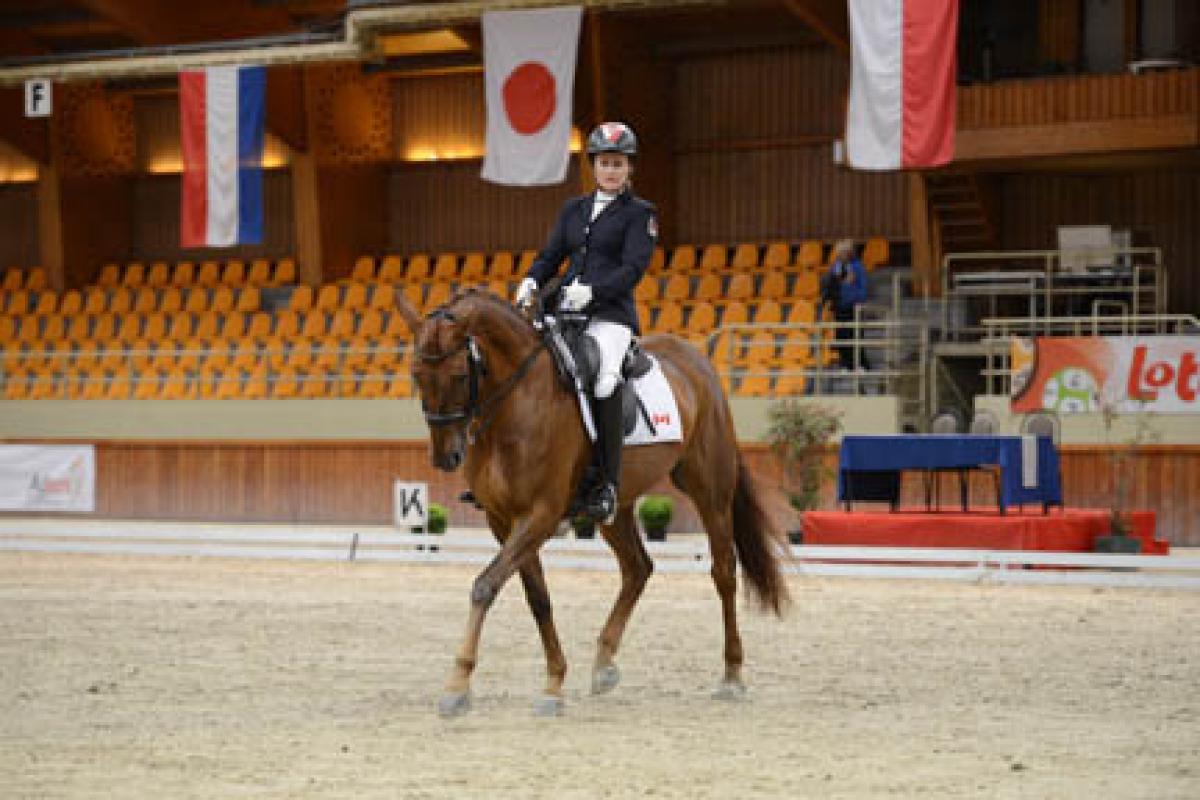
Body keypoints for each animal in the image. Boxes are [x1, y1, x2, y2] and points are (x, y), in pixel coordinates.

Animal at [393, 289, 787, 719]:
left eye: (461, 376)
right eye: (416, 375)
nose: (445, 457)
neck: (517, 401)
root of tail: (697, 361)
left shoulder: (541, 514)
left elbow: (484, 586)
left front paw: (458, 685)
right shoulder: (503, 519)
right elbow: (537, 598)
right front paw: (553, 683)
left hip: (710, 491)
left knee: (723, 572)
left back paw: (731, 675)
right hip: (614, 508)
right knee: (638, 568)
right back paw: (604, 665)